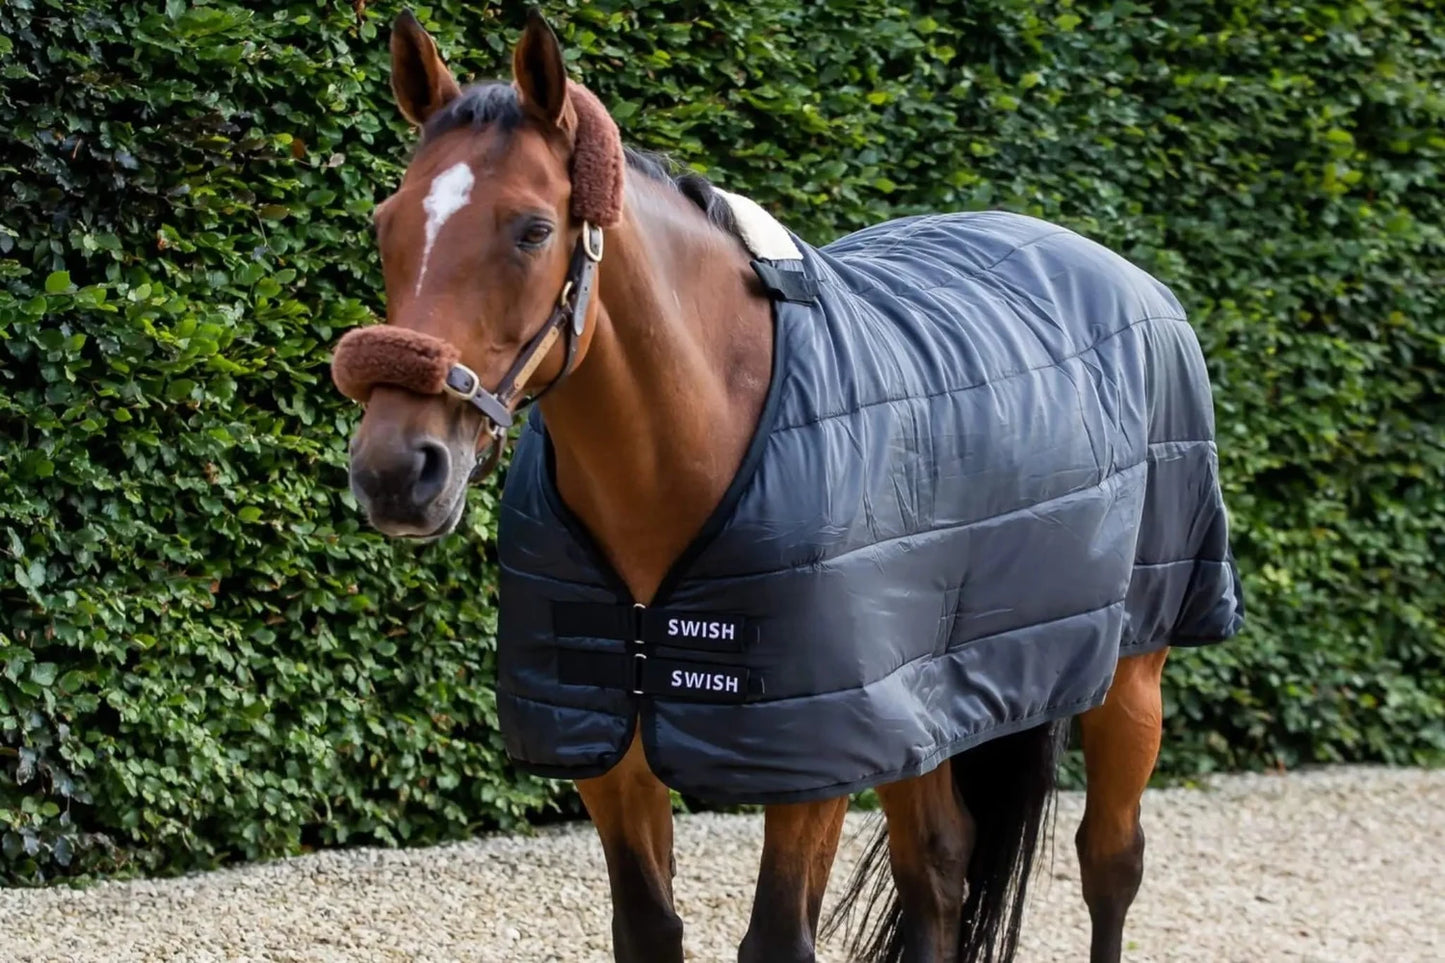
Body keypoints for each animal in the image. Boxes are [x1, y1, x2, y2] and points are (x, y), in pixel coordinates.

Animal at [330, 10, 1244, 962]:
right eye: (386, 223)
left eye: (532, 230)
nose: (396, 469)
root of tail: (1119, 270)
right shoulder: (612, 744)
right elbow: (646, 925)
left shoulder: (812, 758)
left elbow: (776, 934)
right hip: (922, 706)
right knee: (939, 868)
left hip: (1132, 667)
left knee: (1109, 859)